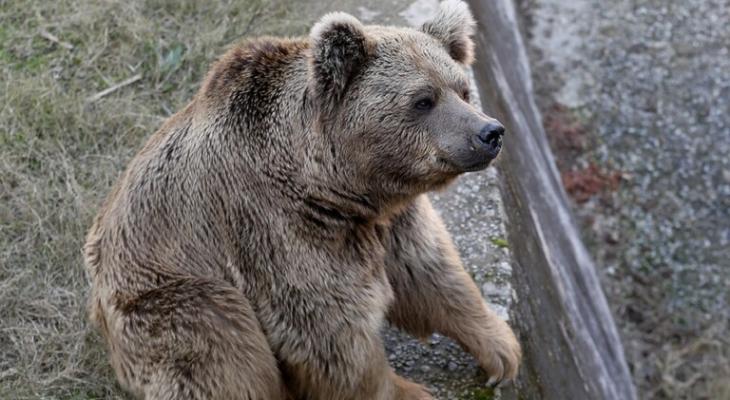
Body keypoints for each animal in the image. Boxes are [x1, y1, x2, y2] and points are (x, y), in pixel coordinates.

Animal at [84, 1, 516, 398]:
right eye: (422, 100)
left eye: (462, 90)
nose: (490, 132)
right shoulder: (278, 228)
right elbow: (328, 330)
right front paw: (409, 391)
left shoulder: (389, 218)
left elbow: (428, 271)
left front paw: (501, 349)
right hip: (165, 298)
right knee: (221, 349)